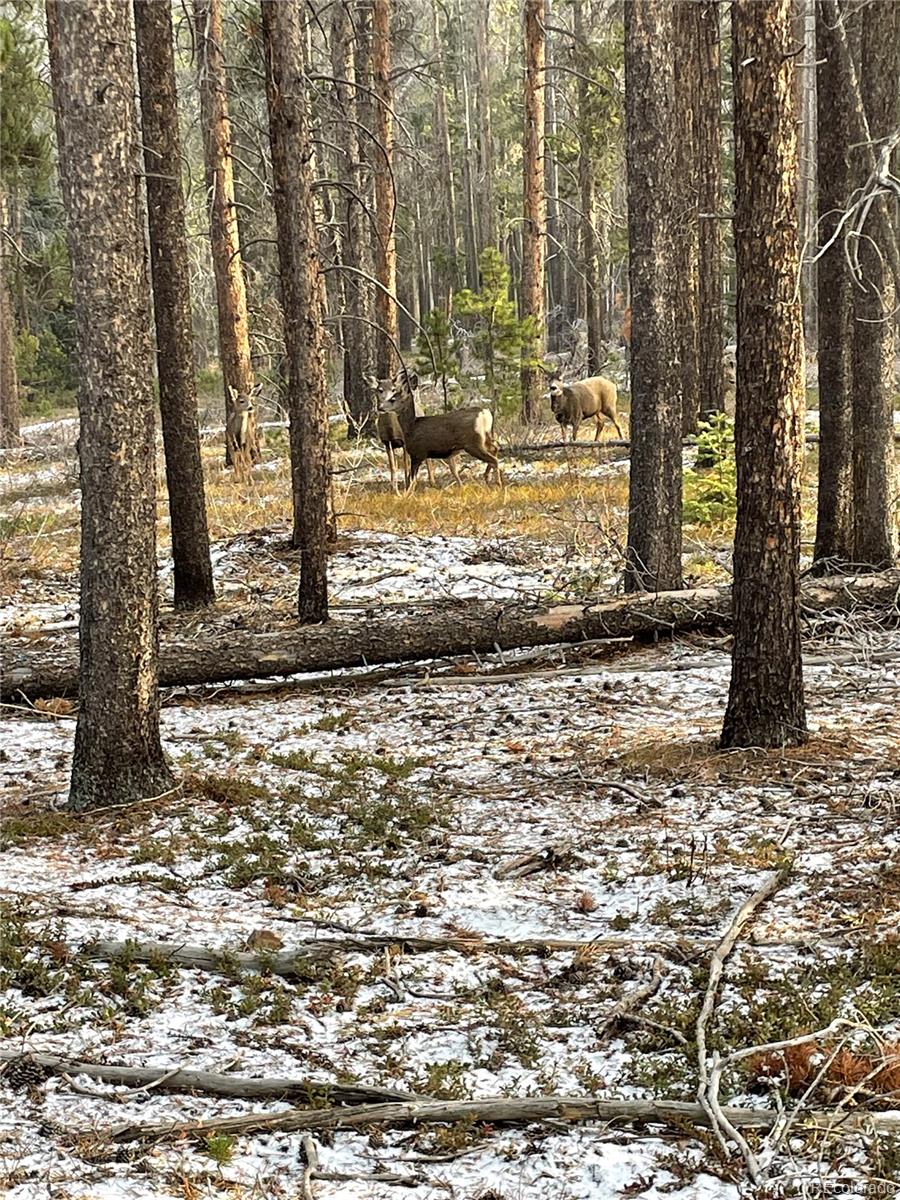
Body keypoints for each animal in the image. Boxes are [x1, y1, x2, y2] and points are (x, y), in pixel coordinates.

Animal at [376, 369, 504, 492]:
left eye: (392, 398)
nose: (379, 407)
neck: (411, 426)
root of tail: (485, 414)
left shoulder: (418, 453)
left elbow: (411, 479)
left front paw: (406, 494)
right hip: (486, 438)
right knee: (495, 449)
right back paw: (487, 477)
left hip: (473, 443)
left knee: (494, 460)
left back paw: (498, 484)